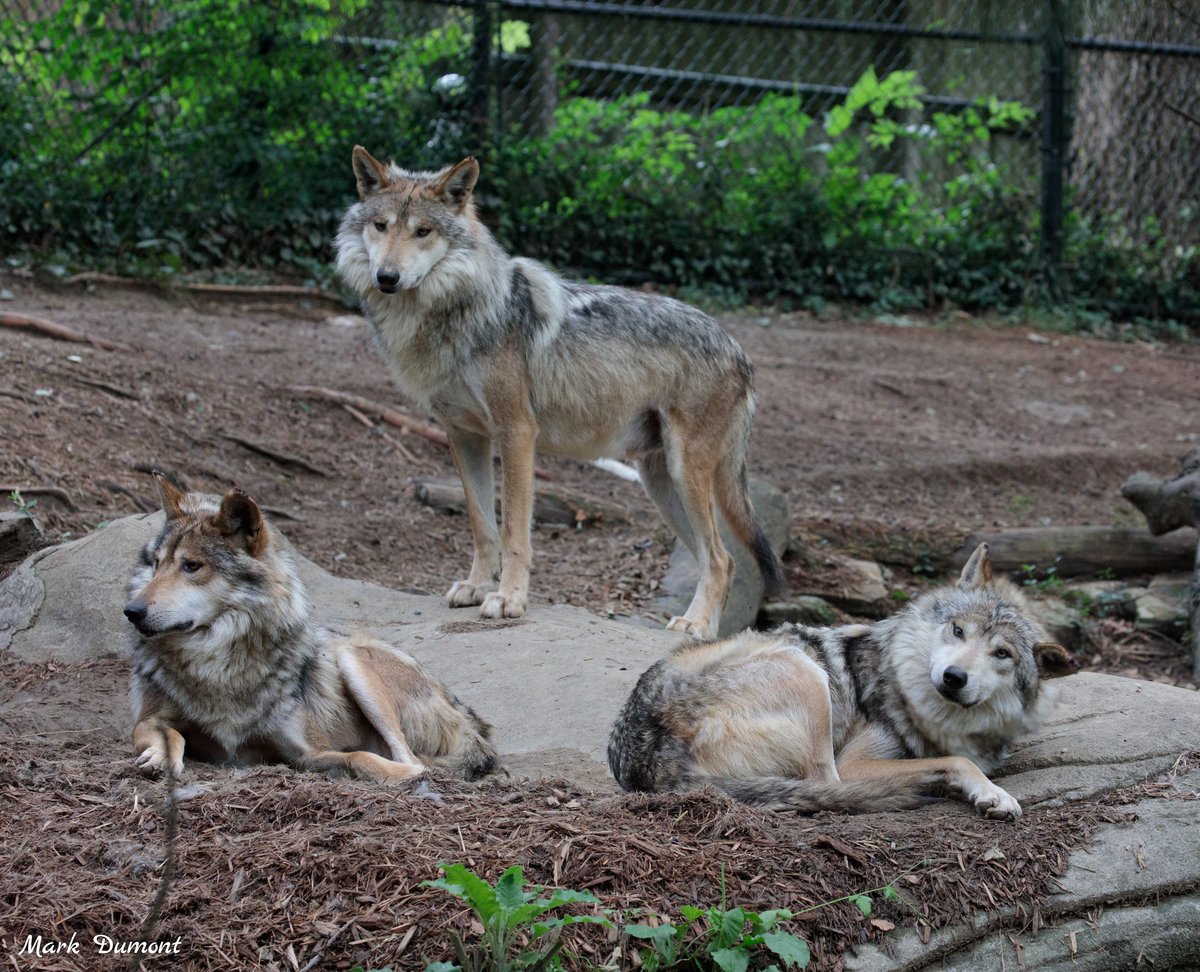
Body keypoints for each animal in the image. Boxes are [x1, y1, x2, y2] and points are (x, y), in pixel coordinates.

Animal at [125, 473, 498, 782]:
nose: (131, 611)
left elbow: (360, 756)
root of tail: (466, 714)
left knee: (407, 751)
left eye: (192, 566)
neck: (217, 662)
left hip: (352, 660)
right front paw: (160, 756)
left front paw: (405, 774)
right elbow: (166, 733)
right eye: (156, 564)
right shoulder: (151, 719)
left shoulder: (307, 751)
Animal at [334, 148, 784, 640]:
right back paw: (704, 633)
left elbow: (513, 530)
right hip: (660, 482)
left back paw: (694, 626)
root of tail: (739, 349)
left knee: (720, 559)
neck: (452, 313)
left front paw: (508, 599)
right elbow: (481, 525)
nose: (386, 277)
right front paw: (476, 588)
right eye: (381, 226)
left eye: (422, 232)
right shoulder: (464, 435)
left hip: (685, 473)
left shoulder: (516, 432)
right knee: (721, 560)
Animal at [608, 543, 1078, 819]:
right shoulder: (857, 761)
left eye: (1002, 654)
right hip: (805, 673)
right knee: (829, 786)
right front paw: (991, 792)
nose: (954, 676)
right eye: (958, 630)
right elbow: (958, 762)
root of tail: (654, 767)